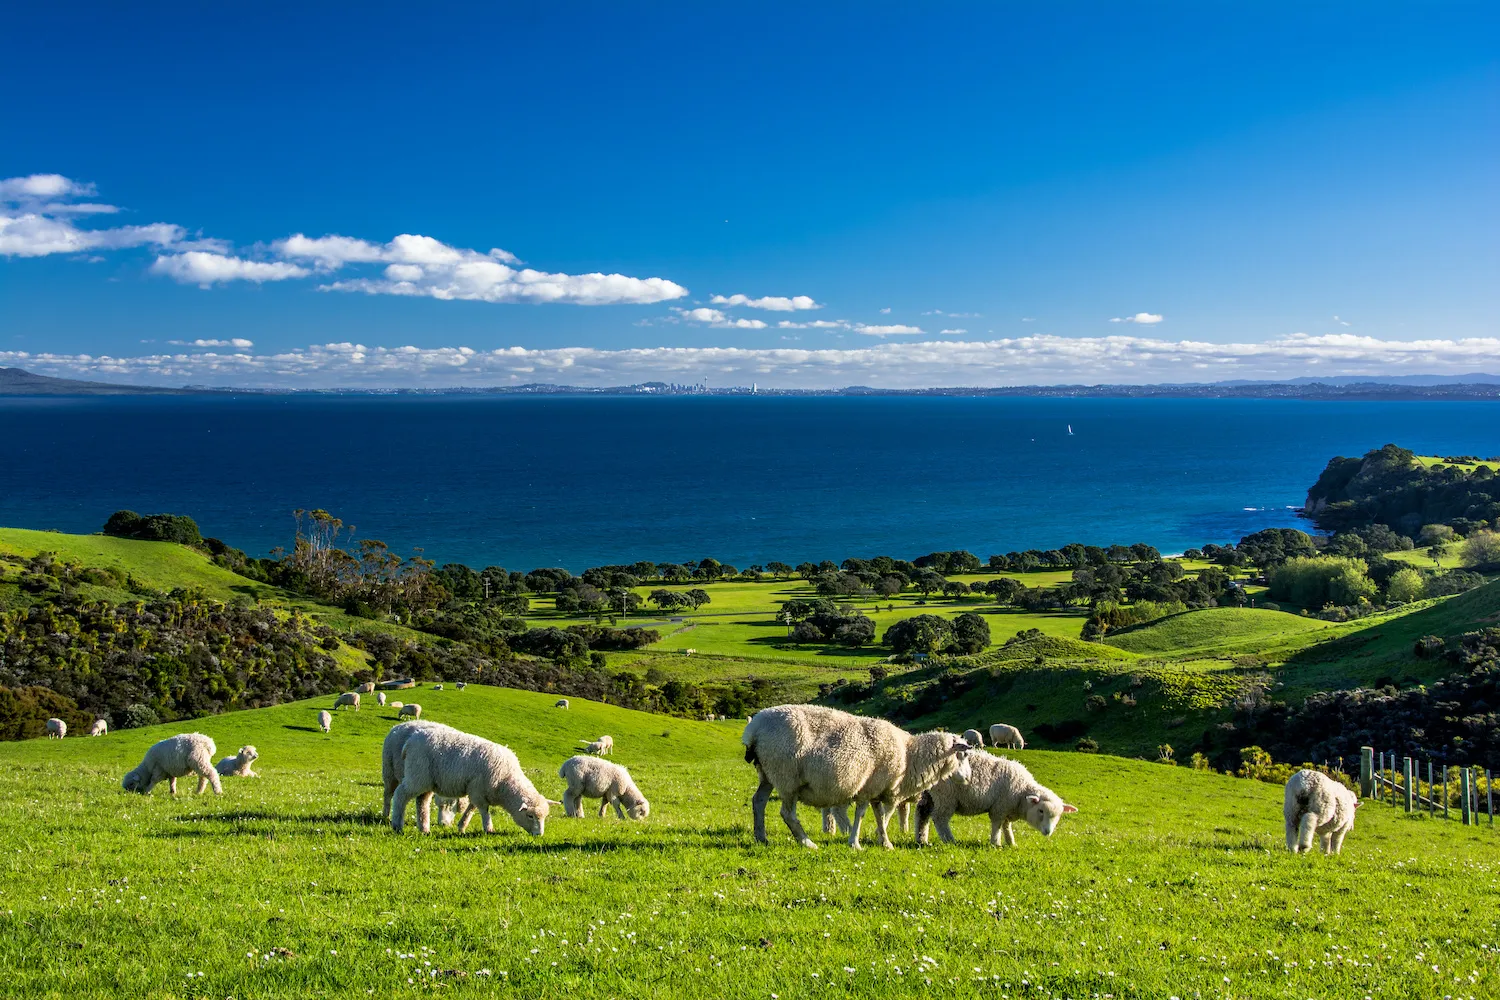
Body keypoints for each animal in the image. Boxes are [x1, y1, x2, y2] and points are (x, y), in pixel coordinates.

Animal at [387, 728, 552, 839]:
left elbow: (471, 809)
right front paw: (489, 829)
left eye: (544, 817)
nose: (539, 834)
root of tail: (410, 741)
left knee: (422, 802)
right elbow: (484, 811)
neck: (506, 781)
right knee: (400, 794)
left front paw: (462, 826)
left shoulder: (477, 790)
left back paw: (424, 829)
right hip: (416, 775)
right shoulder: (479, 790)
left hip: (426, 781)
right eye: (530, 816)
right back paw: (397, 825)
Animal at [741, 701, 972, 851]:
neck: (909, 755)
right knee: (787, 813)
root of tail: (755, 728)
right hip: (787, 777)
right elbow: (865, 815)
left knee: (758, 801)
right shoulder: (870, 789)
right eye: (963, 754)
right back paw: (807, 842)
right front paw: (856, 843)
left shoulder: (877, 790)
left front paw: (885, 843)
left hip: (767, 774)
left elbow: (879, 817)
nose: (968, 778)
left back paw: (761, 837)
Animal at [906, 755, 1074, 851]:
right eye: (1041, 811)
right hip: (945, 796)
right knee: (940, 819)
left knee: (922, 813)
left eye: (1058, 816)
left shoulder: (1007, 808)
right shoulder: (999, 807)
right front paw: (996, 843)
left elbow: (1007, 826)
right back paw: (950, 841)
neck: (1022, 792)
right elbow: (997, 825)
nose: (1048, 832)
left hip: (929, 794)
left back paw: (921, 839)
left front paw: (1011, 843)